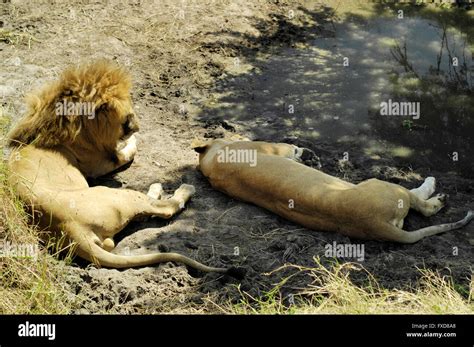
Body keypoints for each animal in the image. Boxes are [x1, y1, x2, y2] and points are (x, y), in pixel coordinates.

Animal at [5, 61, 231, 276]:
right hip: (120, 195)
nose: (138, 127)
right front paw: (133, 140)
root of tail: (69, 229)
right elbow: (129, 150)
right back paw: (178, 189)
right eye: (128, 117)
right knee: (163, 208)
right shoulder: (101, 163)